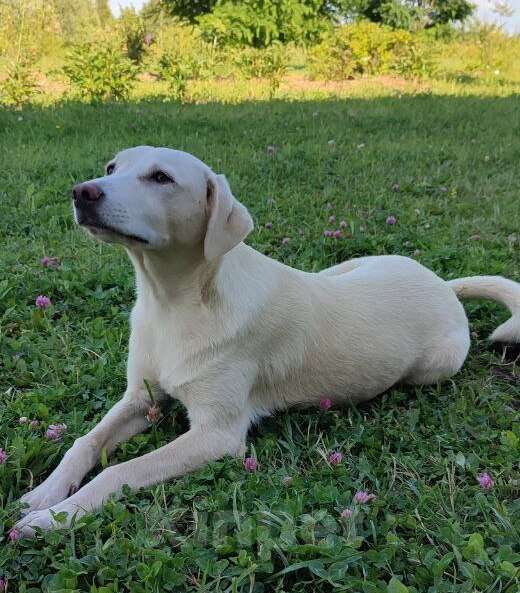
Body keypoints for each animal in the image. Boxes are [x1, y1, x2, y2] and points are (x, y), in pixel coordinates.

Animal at [16, 146, 520, 536]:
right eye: (111, 167)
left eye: (161, 177)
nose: (82, 192)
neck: (176, 303)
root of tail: (443, 285)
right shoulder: (142, 398)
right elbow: (83, 442)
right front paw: (42, 495)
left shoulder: (217, 435)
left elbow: (118, 471)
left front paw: (54, 519)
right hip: (347, 267)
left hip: (434, 365)